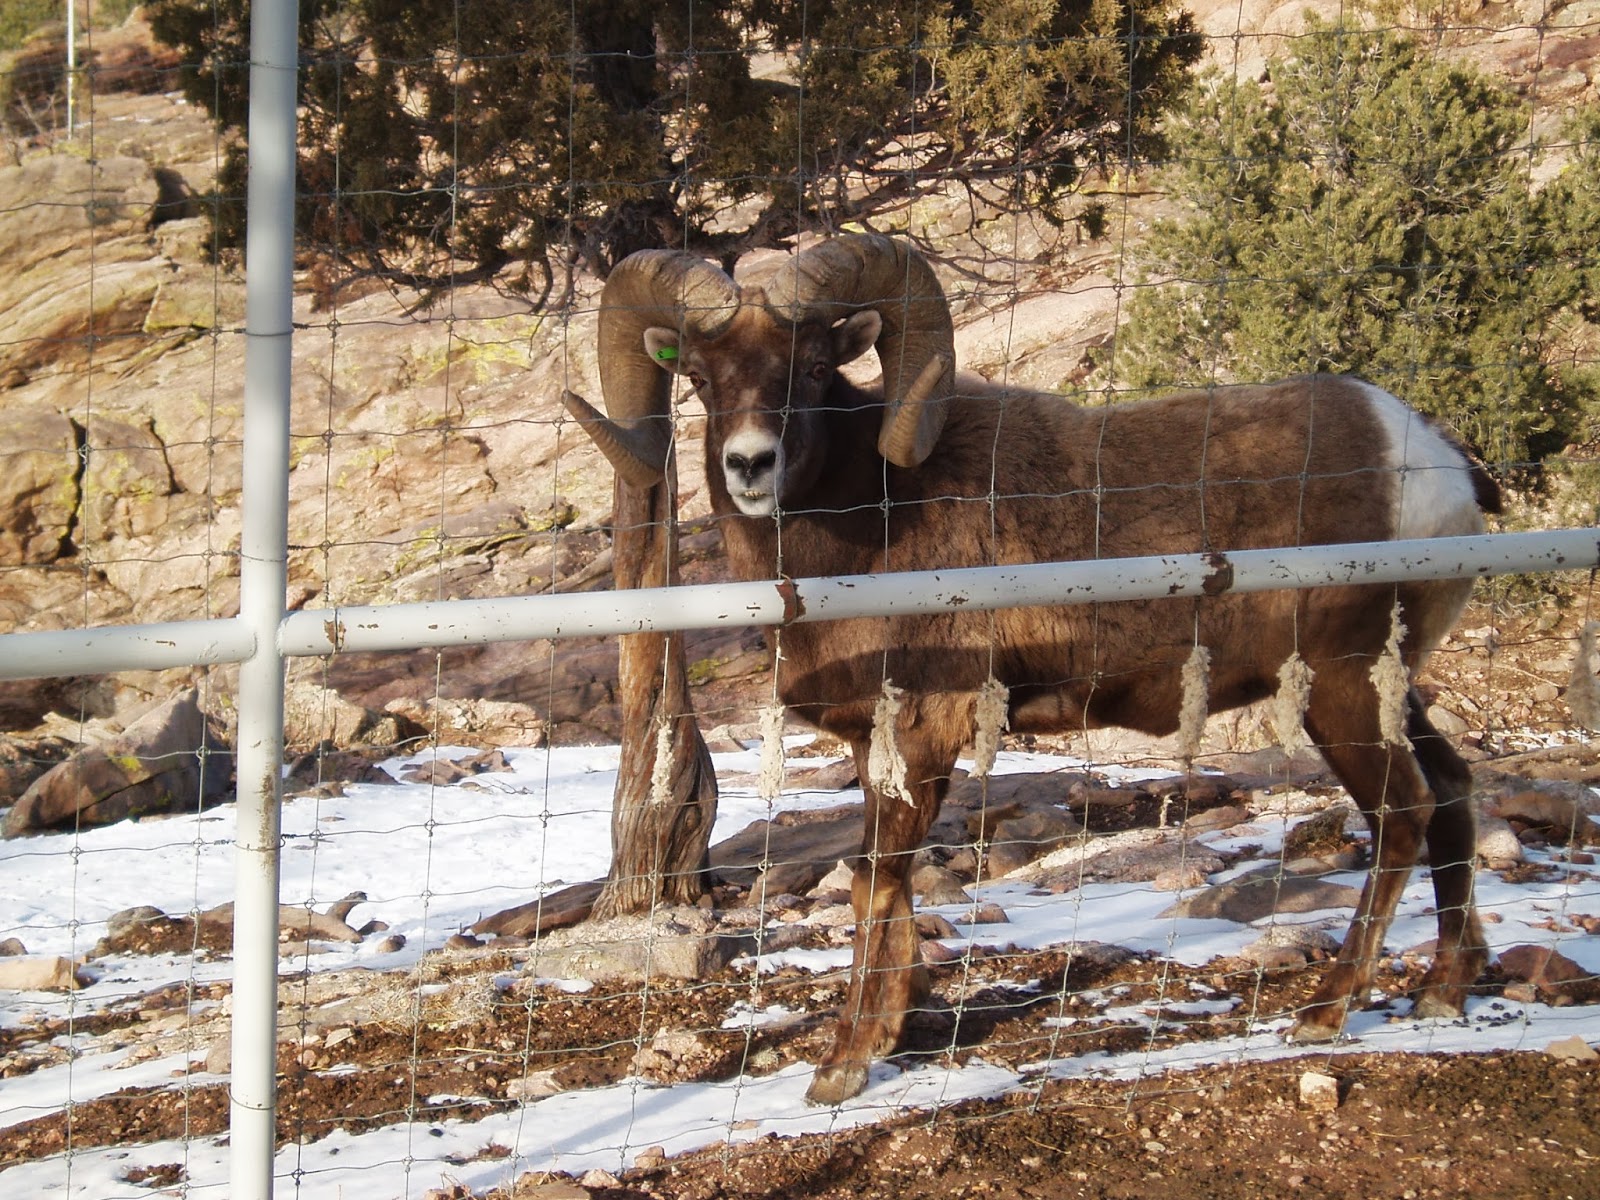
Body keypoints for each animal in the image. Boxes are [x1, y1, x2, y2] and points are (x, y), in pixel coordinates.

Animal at [563, 233, 1501, 1105]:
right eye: (701, 379)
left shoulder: (922, 734)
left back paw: (1327, 1009)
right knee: (1453, 790)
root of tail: (1437, 469)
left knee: (1403, 812)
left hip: (1343, 688)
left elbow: (876, 882)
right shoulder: (879, 749)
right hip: (1390, 688)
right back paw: (1442, 994)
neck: (866, 532)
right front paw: (892, 1035)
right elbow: (883, 892)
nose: (750, 465)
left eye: (816, 367)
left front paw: (842, 1066)